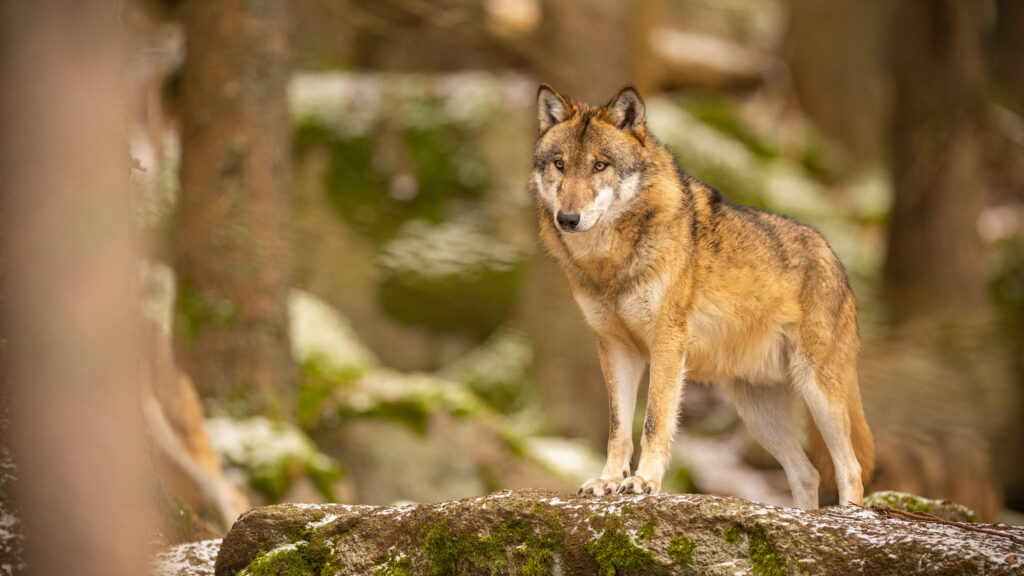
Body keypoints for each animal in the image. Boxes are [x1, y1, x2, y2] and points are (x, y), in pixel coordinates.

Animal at [529, 84, 875, 508]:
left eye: (600, 166)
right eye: (560, 164)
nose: (567, 219)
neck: (611, 261)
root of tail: (835, 258)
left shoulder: (667, 342)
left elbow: (654, 420)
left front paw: (644, 482)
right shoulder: (615, 347)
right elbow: (618, 428)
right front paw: (607, 481)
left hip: (817, 390)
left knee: (850, 468)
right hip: (759, 413)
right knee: (806, 473)